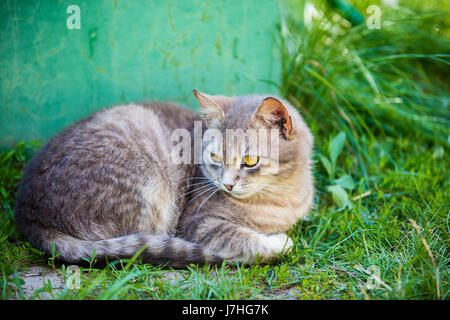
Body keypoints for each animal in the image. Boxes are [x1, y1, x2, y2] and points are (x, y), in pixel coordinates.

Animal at [15, 89, 314, 266]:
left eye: (250, 160)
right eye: (215, 157)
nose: (226, 184)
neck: (281, 199)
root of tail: (28, 215)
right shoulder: (198, 223)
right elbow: (246, 240)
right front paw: (278, 241)